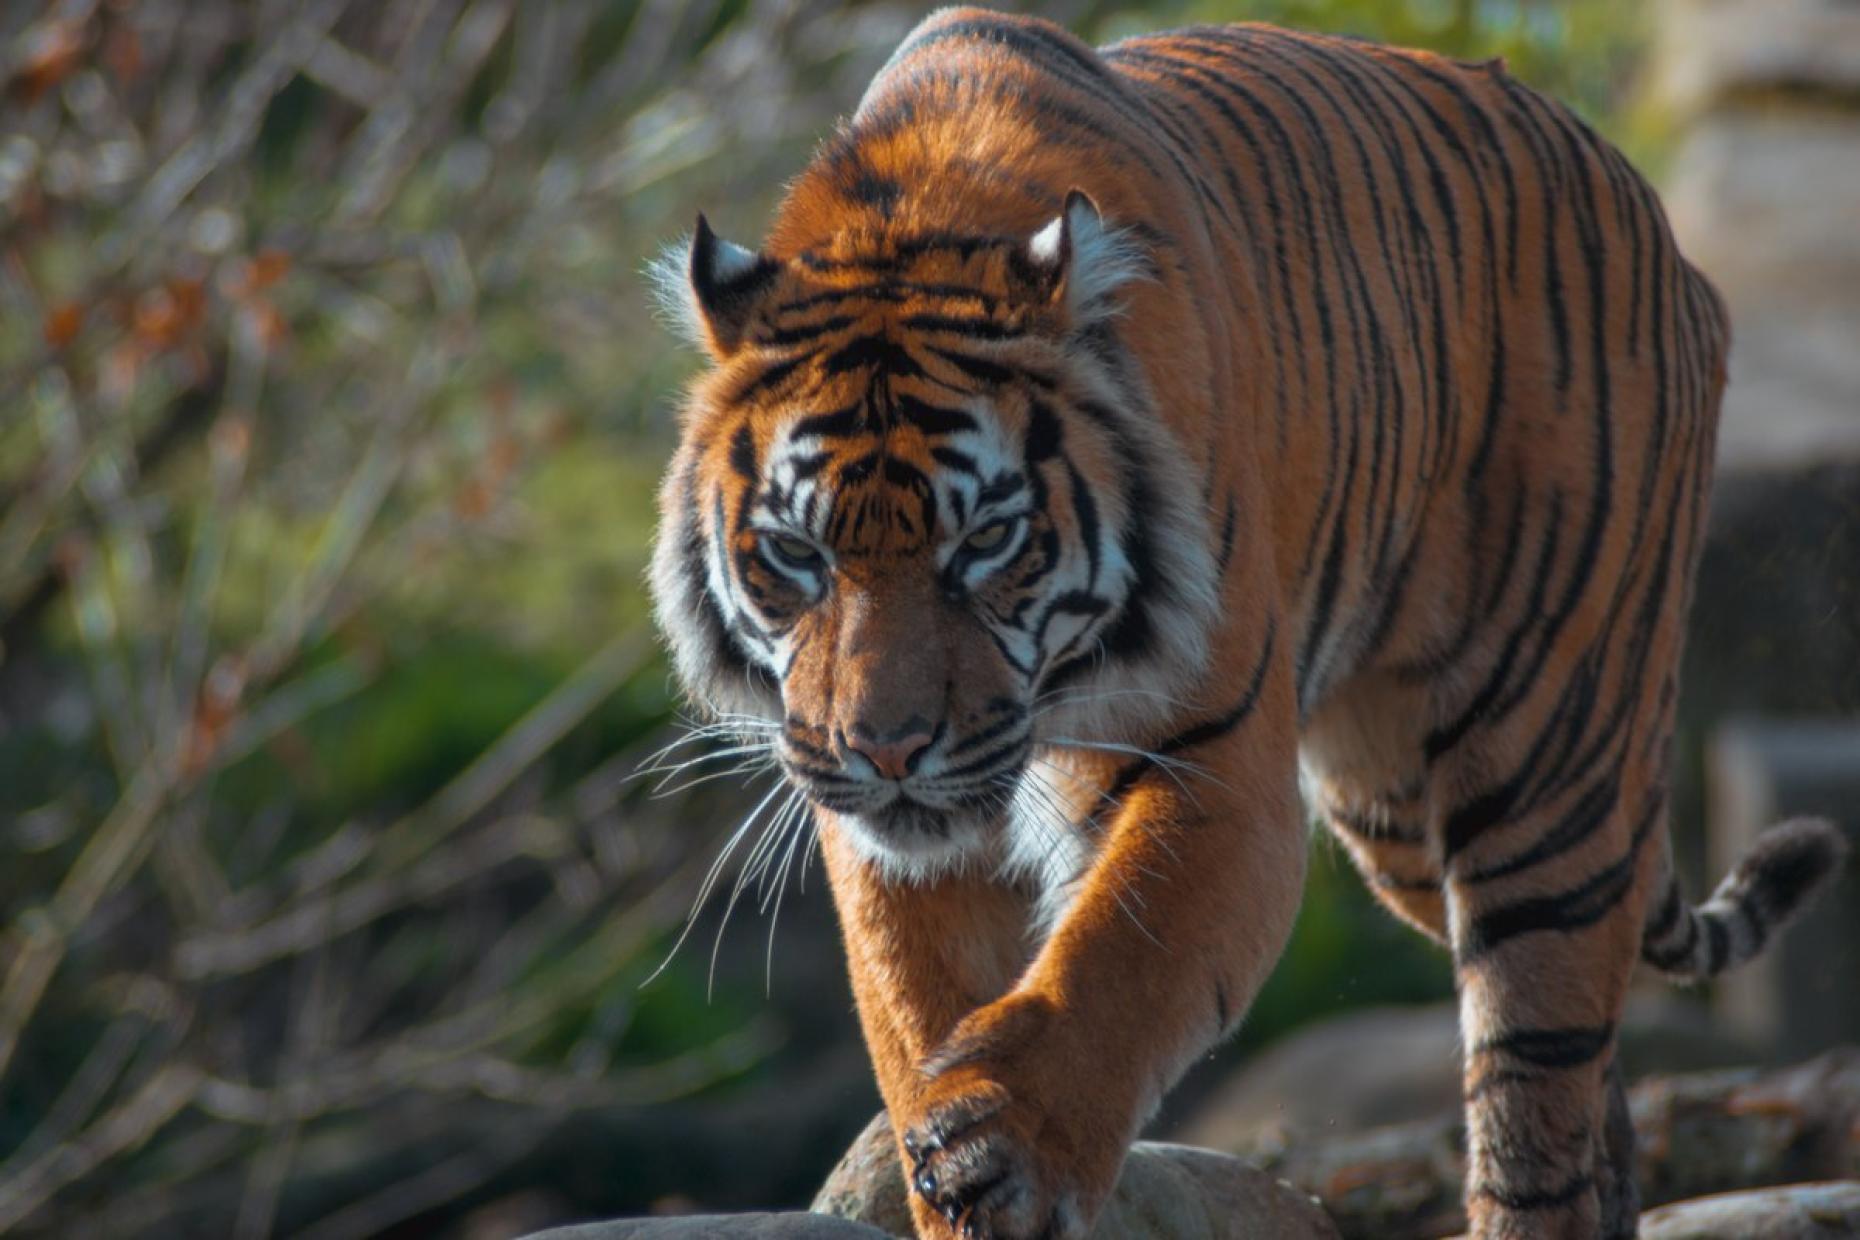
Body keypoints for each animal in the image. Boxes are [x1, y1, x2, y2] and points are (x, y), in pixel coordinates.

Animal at [646, 8, 1849, 1239]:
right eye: (797, 555)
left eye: (983, 540)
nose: (885, 750)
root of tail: (1649, 209)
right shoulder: (884, 833)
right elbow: (913, 1005)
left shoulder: (1217, 764)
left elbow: (1120, 960)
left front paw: (999, 1145)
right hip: (1396, 814)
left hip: (1545, 761)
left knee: (1537, 1081)